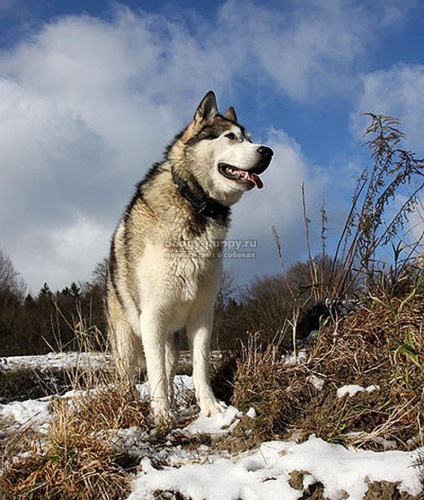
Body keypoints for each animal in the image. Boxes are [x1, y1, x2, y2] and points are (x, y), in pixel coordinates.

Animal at [107, 92, 274, 424]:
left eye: (250, 139)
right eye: (230, 137)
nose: (268, 151)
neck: (195, 204)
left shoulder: (202, 313)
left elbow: (199, 365)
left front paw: (211, 407)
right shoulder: (152, 317)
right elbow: (155, 373)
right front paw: (161, 415)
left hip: (170, 338)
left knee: (169, 367)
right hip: (126, 338)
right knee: (130, 374)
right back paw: (132, 405)